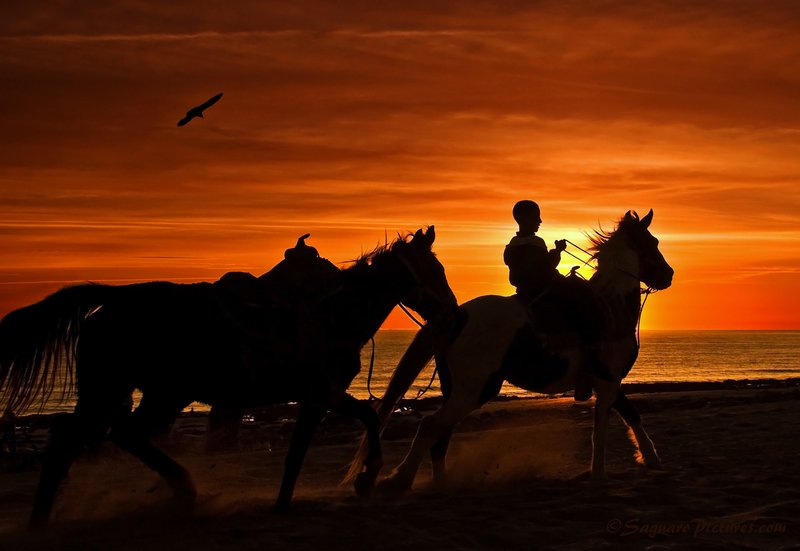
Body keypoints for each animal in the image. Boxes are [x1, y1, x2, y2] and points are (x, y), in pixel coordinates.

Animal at [0, 226, 457, 526]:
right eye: (433, 271)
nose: (455, 313)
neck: (336, 314)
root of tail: (113, 300)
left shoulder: (325, 395)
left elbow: (360, 420)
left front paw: (356, 481)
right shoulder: (318, 395)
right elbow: (314, 446)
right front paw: (360, 479)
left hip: (135, 393)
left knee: (93, 437)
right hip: (140, 393)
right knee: (97, 438)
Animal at [345, 210, 673, 491]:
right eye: (653, 243)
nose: (668, 275)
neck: (611, 305)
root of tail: (458, 316)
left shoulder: (608, 380)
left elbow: (631, 415)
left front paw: (652, 460)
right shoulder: (606, 380)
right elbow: (602, 428)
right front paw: (600, 474)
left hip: (459, 391)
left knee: (440, 432)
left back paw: (442, 483)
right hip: (474, 390)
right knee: (430, 426)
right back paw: (400, 479)